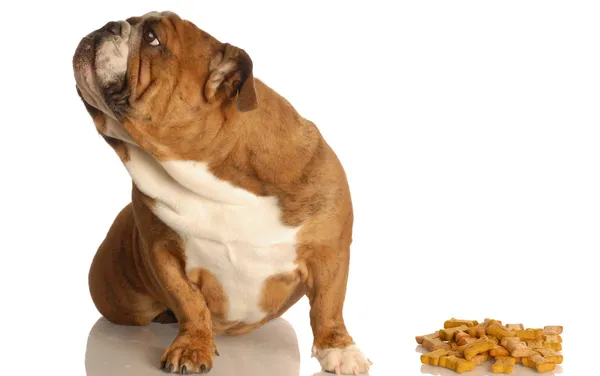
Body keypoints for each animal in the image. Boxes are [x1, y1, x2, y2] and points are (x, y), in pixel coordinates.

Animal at [72, 10, 368, 374]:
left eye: (153, 38)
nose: (108, 25)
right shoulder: (162, 252)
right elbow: (189, 302)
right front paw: (192, 346)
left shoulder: (330, 251)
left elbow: (328, 304)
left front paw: (339, 348)